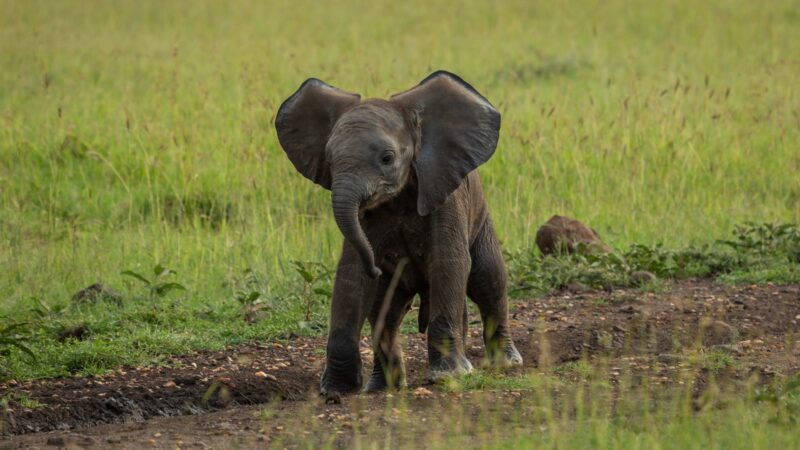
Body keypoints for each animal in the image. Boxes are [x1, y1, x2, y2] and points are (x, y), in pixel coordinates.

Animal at [276, 68, 524, 396]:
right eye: (329, 160)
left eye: (387, 158)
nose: (378, 268)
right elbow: (352, 274)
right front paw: (336, 390)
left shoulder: (445, 193)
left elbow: (450, 262)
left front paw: (448, 376)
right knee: (387, 311)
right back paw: (382, 387)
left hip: (481, 220)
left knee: (489, 279)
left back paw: (505, 364)